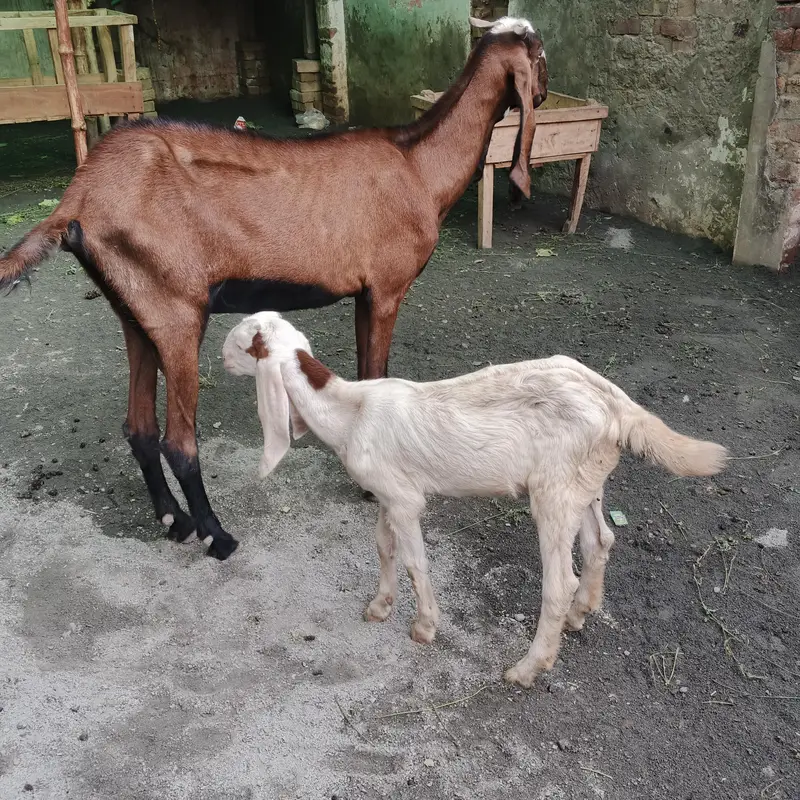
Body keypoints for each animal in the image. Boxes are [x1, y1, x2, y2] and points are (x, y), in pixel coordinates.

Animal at [0, 17, 548, 560]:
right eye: (541, 56)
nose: (543, 92)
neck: (418, 164)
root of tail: (78, 197)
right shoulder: (388, 289)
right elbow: (378, 372)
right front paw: (374, 486)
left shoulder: (365, 292)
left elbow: (366, 375)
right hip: (178, 311)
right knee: (178, 441)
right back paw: (216, 536)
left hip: (136, 309)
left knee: (139, 429)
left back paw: (174, 521)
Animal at [222, 311, 728, 687]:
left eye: (241, 343)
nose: (221, 360)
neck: (349, 413)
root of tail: (618, 405)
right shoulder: (386, 492)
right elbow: (383, 547)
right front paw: (380, 606)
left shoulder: (405, 500)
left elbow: (414, 561)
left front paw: (424, 626)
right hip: (584, 481)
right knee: (600, 541)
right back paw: (582, 612)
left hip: (553, 490)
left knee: (558, 582)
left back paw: (529, 667)